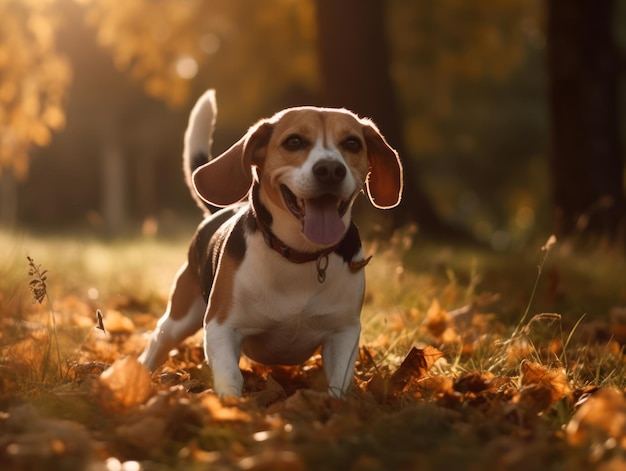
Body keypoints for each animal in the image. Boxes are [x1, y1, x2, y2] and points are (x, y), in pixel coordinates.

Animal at [137, 89, 402, 398]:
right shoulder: (221, 326)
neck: (300, 254)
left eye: (352, 143)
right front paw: (232, 405)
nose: (330, 169)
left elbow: (338, 384)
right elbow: (230, 376)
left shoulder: (344, 332)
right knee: (159, 340)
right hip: (180, 317)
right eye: (294, 141)